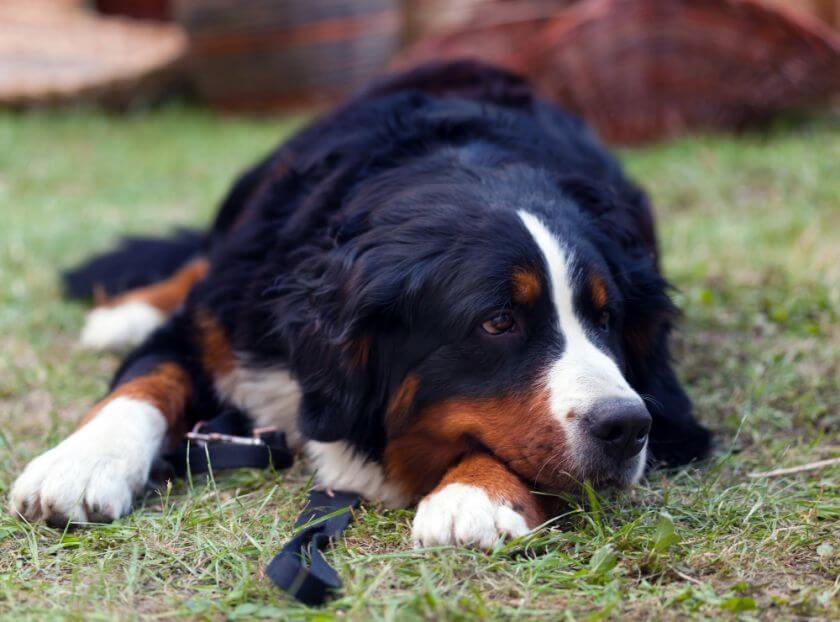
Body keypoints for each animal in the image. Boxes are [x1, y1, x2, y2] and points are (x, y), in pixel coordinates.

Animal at [11, 62, 708, 552]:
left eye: (606, 318)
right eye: (498, 322)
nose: (628, 426)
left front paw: (474, 494)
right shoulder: (215, 324)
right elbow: (145, 381)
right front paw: (80, 464)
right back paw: (126, 311)